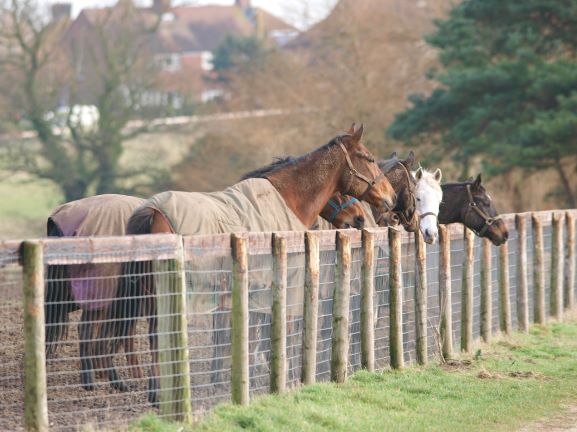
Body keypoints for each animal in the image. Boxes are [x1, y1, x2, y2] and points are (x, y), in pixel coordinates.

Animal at [106, 123, 396, 404]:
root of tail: (152, 211)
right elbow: (278, 333)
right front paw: (283, 379)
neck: (283, 200)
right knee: (158, 336)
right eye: (369, 158)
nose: (388, 199)